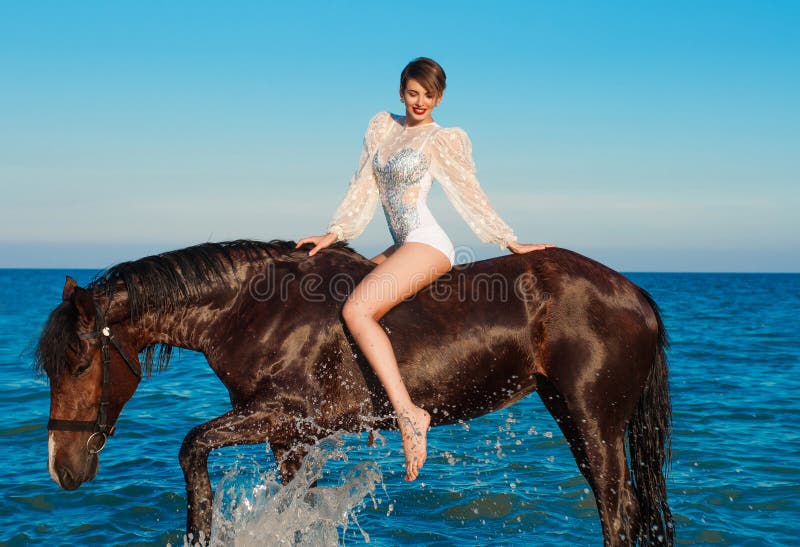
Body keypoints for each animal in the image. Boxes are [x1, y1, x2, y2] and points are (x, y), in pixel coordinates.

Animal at [34, 241, 672, 547]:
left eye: (79, 361)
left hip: (594, 422)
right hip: (571, 413)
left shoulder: (278, 414)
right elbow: (297, 508)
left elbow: (191, 446)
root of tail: (636, 293)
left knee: (618, 510)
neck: (254, 309)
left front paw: (200, 528)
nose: (62, 468)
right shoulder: (289, 437)